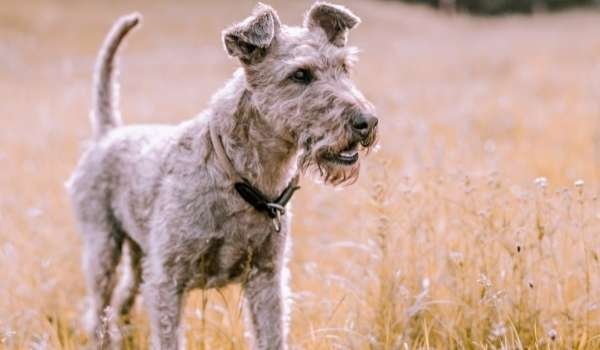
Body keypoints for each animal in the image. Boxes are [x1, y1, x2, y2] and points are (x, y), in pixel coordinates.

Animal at [68, 2, 378, 348]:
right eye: (300, 74)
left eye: (344, 67)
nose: (367, 121)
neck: (239, 176)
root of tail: (108, 133)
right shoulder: (167, 280)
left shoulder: (267, 278)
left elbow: (272, 336)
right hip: (102, 249)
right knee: (99, 312)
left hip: (138, 259)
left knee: (121, 302)